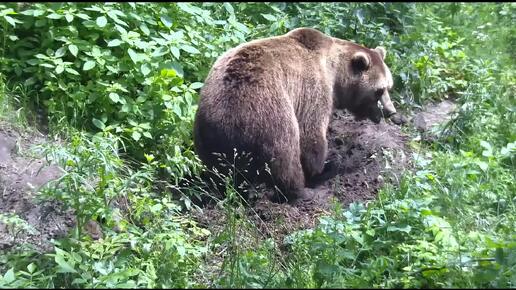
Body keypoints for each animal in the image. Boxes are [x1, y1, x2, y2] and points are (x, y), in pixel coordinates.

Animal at [194, 28, 400, 203]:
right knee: (285, 157)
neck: (334, 73)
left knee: (219, 171)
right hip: (268, 113)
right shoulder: (312, 88)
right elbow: (311, 135)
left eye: (389, 86)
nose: (391, 111)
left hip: (206, 134)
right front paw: (321, 167)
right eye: (379, 90)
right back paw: (303, 191)